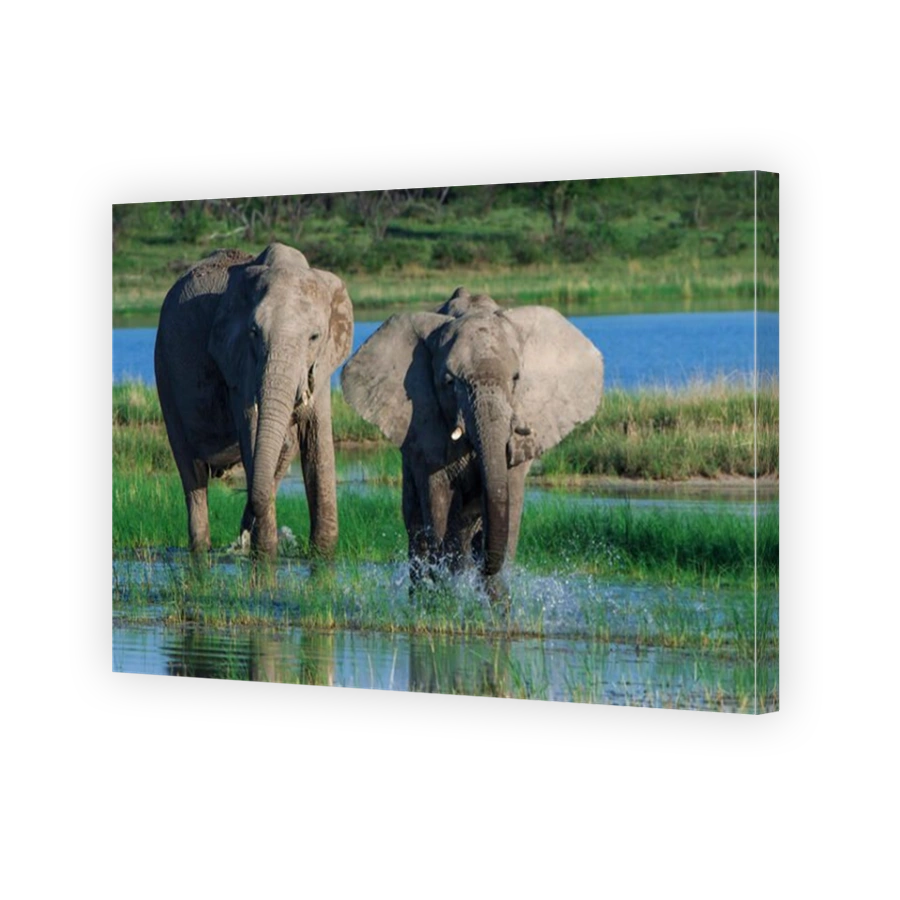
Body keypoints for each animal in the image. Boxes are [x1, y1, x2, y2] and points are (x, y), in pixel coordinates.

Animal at [154, 242, 353, 560]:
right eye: (254, 332)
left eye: (314, 337)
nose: (242, 536)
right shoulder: (237, 357)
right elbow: (251, 427)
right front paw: (265, 554)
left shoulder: (322, 362)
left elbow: (316, 439)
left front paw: (321, 556)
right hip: (163, 366)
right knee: (190, 472)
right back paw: (202, 550)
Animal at [340, 288, 603, 594]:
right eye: (449, 382)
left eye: (516, 378)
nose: (482, 568)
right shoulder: (426, 426)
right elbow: (439, 504)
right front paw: (449, 592)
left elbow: (509, 509)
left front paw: (492, 593)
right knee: (418, 529)